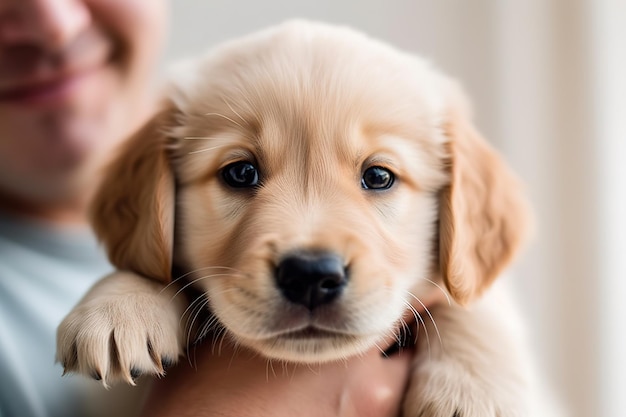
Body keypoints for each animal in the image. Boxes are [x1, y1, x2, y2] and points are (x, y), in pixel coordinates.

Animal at [56, 21, 540, 414]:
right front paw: (119, 304)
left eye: (378, 176)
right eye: (241, 172)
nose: (310, 275)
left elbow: (474, 303)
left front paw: (474, 393)